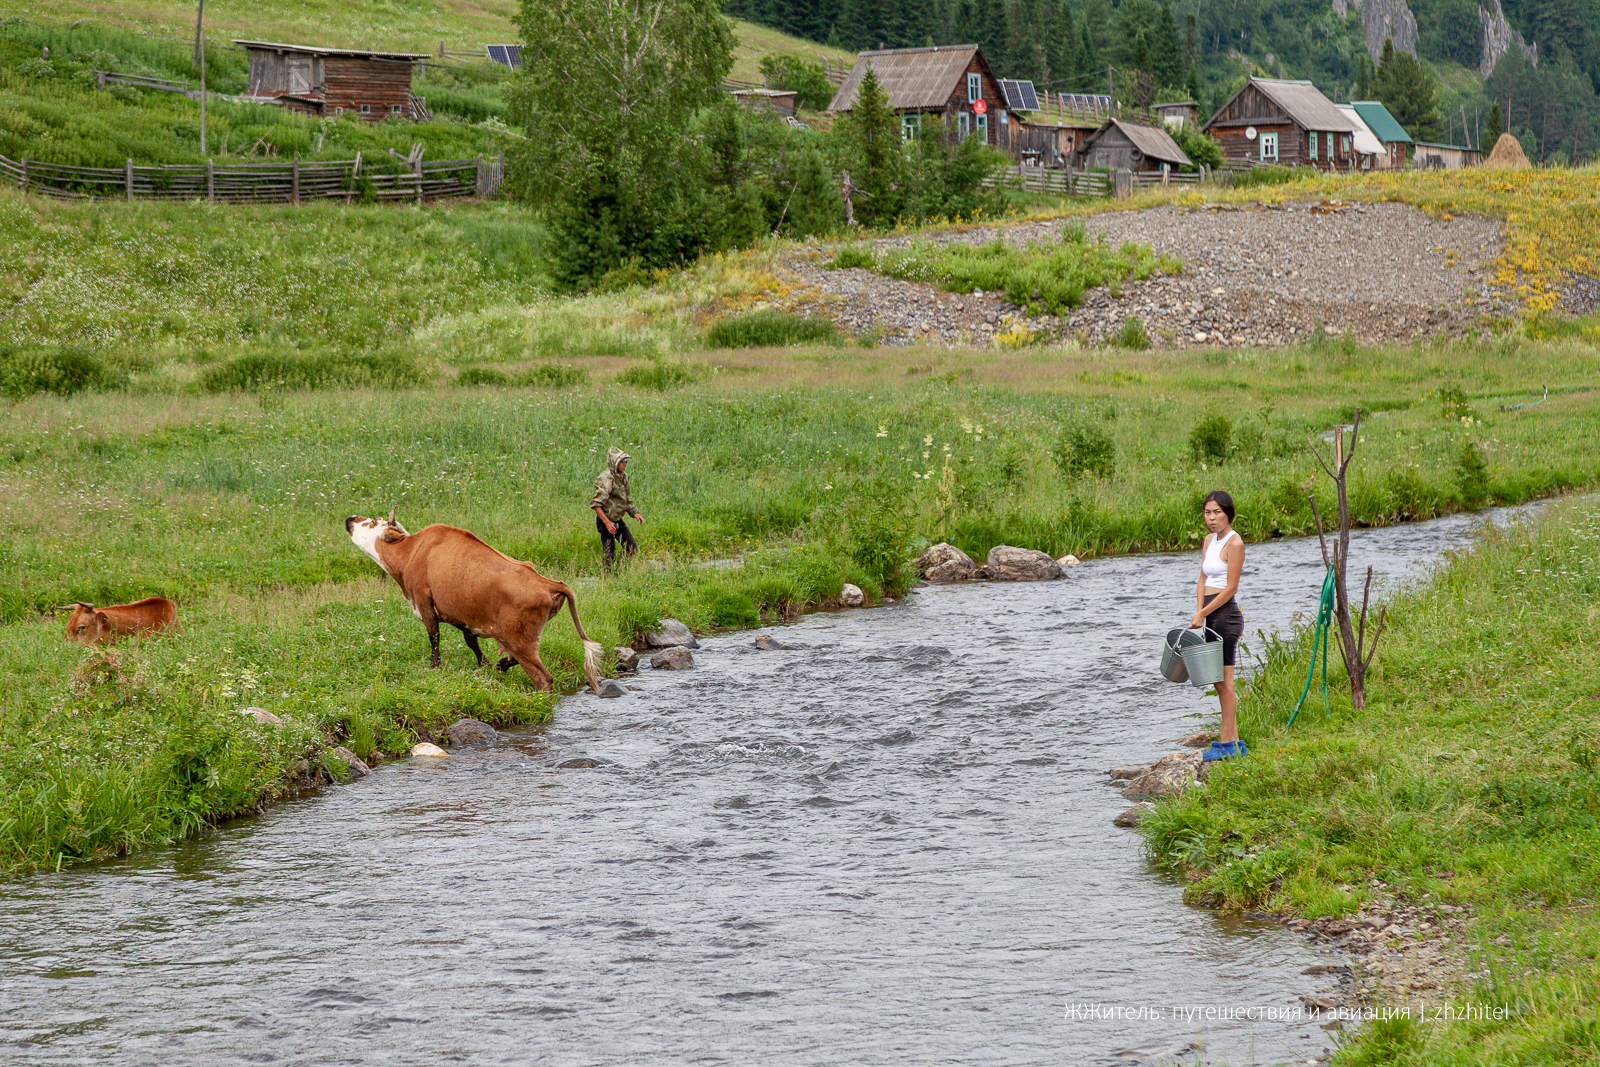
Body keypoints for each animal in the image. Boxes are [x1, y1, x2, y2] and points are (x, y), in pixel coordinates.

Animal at [348, 511, 601, 694]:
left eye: (373, 521)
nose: (350, 518)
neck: (411, 552)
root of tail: (546, 582)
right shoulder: (464, 614)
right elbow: (470, 641)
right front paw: (486, 664)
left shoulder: (424, 601)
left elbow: (434, 637)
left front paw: (435, 666)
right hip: (519, 638)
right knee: (518, 659)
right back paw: (502, 664)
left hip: (521, 641)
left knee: (543, 678)